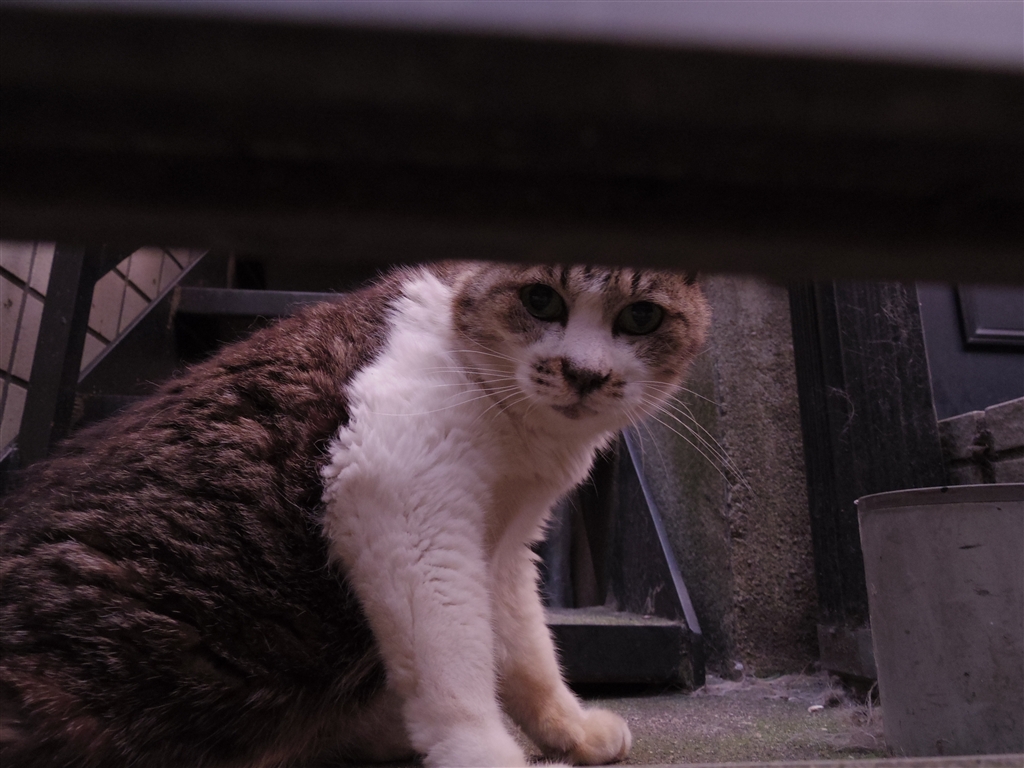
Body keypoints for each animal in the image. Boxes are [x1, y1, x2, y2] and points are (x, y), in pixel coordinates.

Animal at [0, 261, 710, 768]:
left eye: (640, 317)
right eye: (541, 301)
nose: (584, 374)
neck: (527, 447)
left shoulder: (503, 547)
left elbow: (527, 651)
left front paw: (570, 728)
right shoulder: (399, 492)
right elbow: (455, 659)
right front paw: (481, 750)